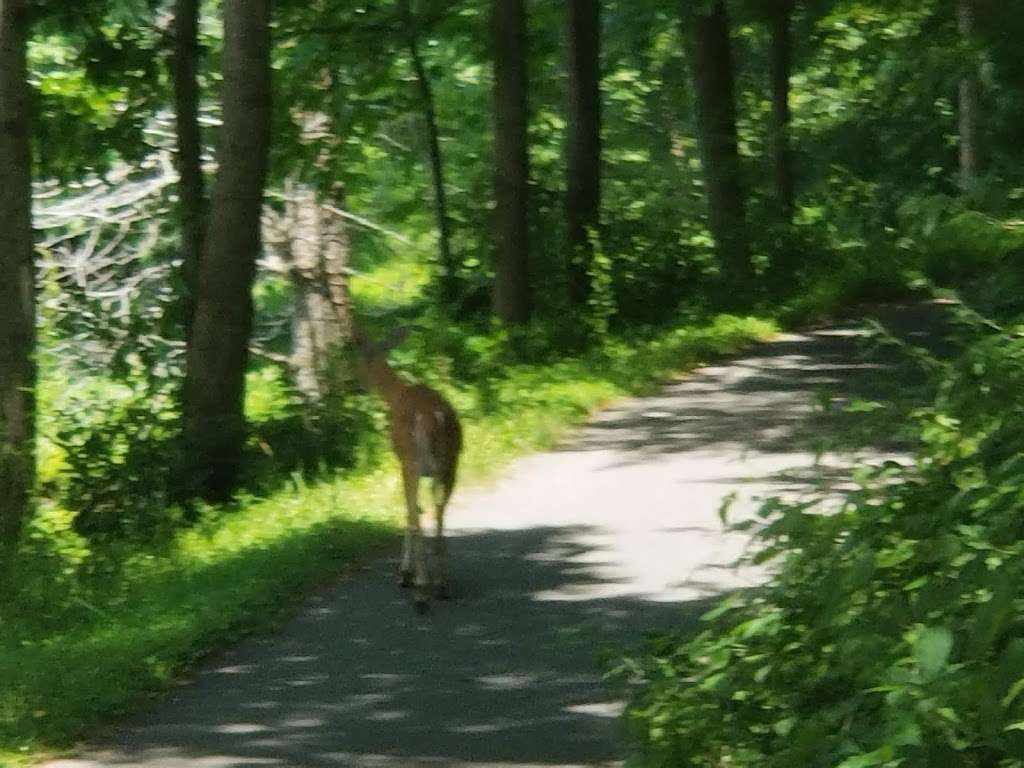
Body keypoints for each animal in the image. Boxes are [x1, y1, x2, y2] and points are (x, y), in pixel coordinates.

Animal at [352, 327, 464, 618]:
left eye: (359, 359)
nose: (355, 383)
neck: (396, 393)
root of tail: (434, 417)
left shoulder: (402, 461)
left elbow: (409, 511)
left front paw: (405, 573)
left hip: (413, 461)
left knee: (416, 515)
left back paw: (421, 592)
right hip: (450, 463)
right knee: (439, 513)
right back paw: (441, 585)